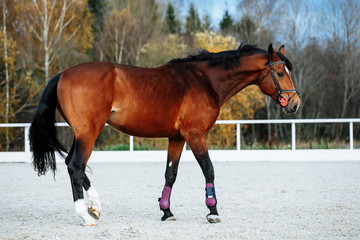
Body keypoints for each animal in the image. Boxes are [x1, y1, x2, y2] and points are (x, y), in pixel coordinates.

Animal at [29, 43, 300, 225]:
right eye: (279, 73)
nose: (295, 104)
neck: (205, 81)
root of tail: (63, 74)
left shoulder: (177, 138)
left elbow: (171, 173)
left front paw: (166, 211)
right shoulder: (195, 134)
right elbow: (209, 169)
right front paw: (212, 211)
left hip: (81, 134)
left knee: (72, 165)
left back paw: (95, 206)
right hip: (88, 133)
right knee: (76, 166)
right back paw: (85, 216)